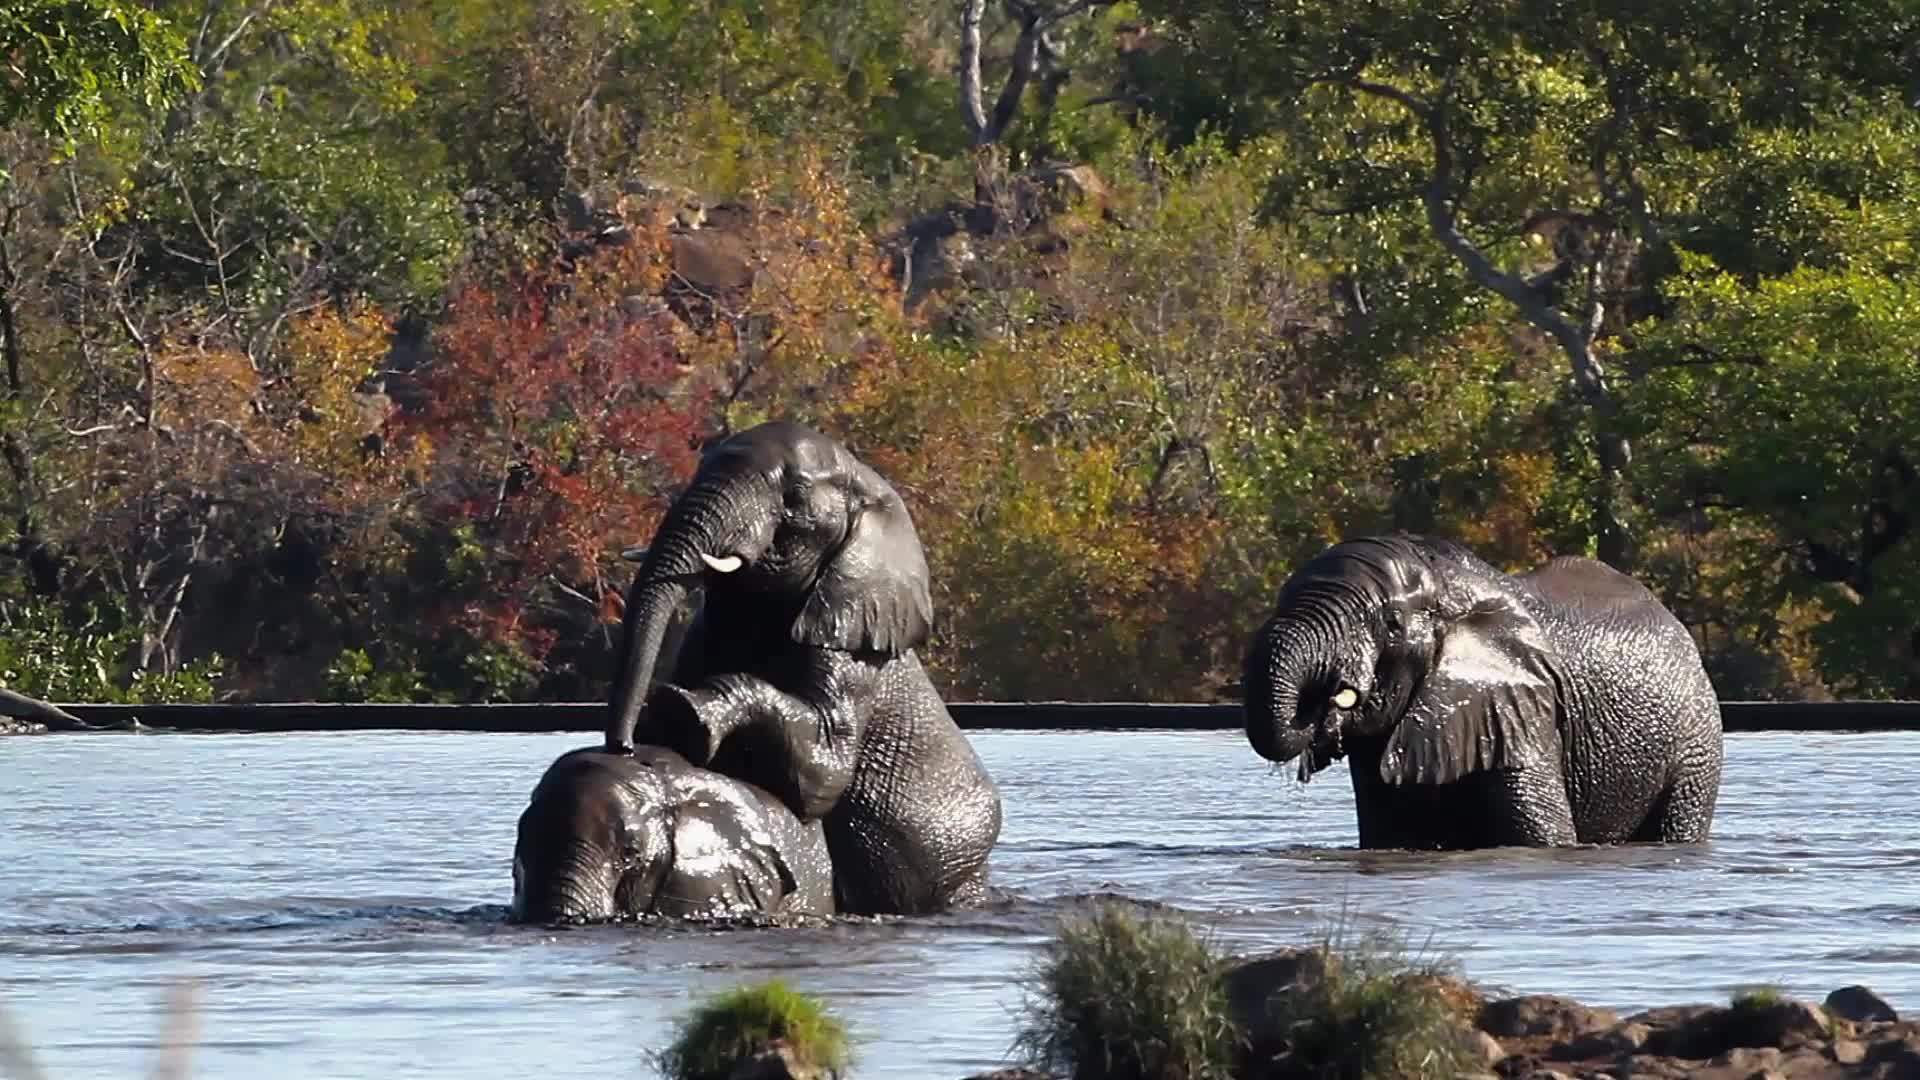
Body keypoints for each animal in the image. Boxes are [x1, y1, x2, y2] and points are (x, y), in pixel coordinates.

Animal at [606, 418, 1006, 907]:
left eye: (793, 494)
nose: (624, 746)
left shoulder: (852, 646)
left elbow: (825, 770)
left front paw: (681, 711)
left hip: (957, 880)